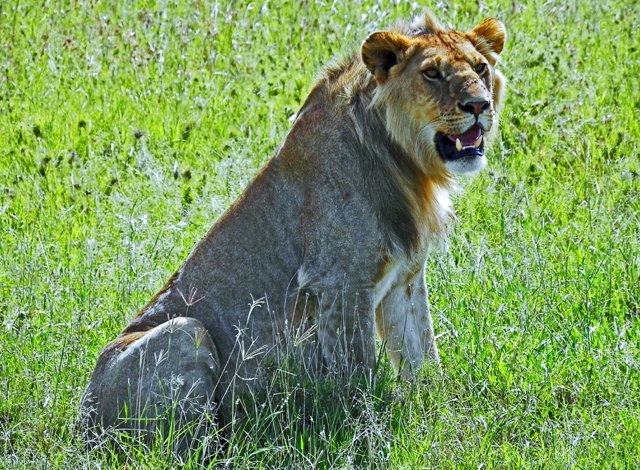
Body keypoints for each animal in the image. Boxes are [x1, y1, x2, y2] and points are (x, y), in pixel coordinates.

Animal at [79, 10, 506, 448]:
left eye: (480, 68)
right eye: (432, 74)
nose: (479, 105)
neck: (407, 164)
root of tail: (82, 427)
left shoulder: (405, 279)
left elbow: (423, 355)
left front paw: (445, 421)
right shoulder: (340, 283)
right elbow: (359, 377)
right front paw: (367, 436)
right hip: (184, 332)